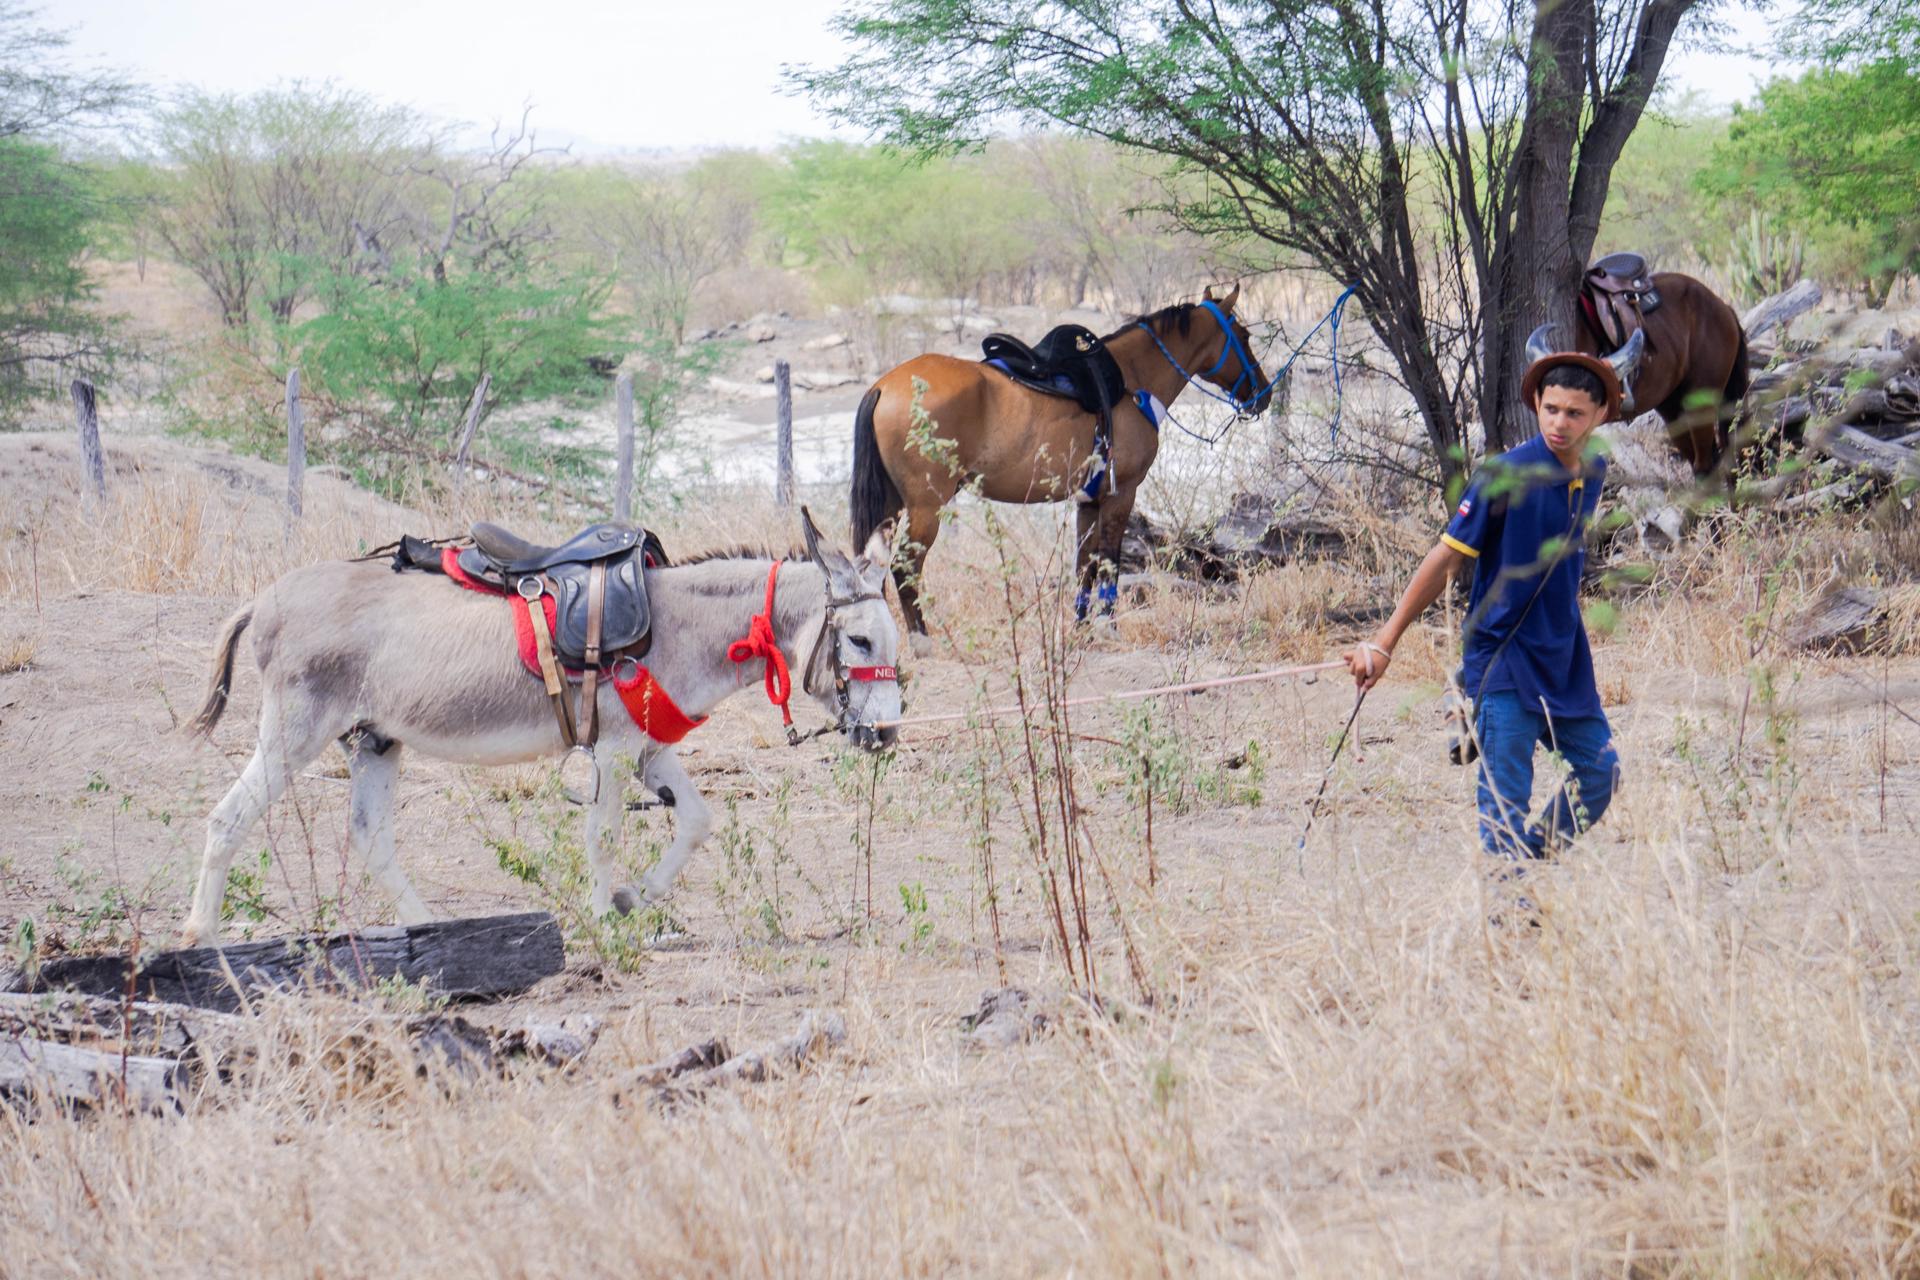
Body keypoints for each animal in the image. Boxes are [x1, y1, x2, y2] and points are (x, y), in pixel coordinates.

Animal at [179, 510, 900, 947]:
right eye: (860, 640)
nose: (888, 734)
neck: (678, 623)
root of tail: (264, 599)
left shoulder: (649, 747)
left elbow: (696, 821)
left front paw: (634, 899)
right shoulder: (615, 750)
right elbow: (604, 837)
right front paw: (604, 921)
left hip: (374, 740)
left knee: (370, 838)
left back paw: (428, 933)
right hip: (294, 730)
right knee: (227, 819)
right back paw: (201, 937)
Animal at [849, 283, 1273, 653]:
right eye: (1244, 336)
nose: (1262, 393)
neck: (1130, 383)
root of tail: (884, 385)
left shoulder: (1088, 501)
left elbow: (1084, 566)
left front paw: (1081, 630)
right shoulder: (1122, 495)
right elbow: (1109, 562)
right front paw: (1107, 627)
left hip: (892, 506)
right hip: (926, 507)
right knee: (905, 567)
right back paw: (922, 642)